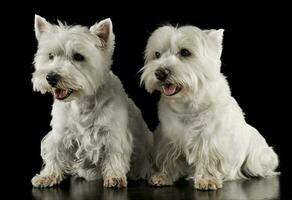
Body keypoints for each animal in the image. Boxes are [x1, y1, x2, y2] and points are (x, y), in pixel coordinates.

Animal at [30, 15, 153, 188]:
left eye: (78, 56)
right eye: (50, 55)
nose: (51, 78)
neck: (82, 102)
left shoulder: (113, 134)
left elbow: (114, 153)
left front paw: (114, 177)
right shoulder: (61, 132)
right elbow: (55, 152)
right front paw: (48, 176)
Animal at [140, 24, 280, 190]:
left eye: (185, 52)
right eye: (157, 54)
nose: (160, 73)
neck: (188, 106)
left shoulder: (211, 138)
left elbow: (209, 158)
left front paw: (207, 179)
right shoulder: (168, 138)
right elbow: (167, 157)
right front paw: (163, 176)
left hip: (259, 157)